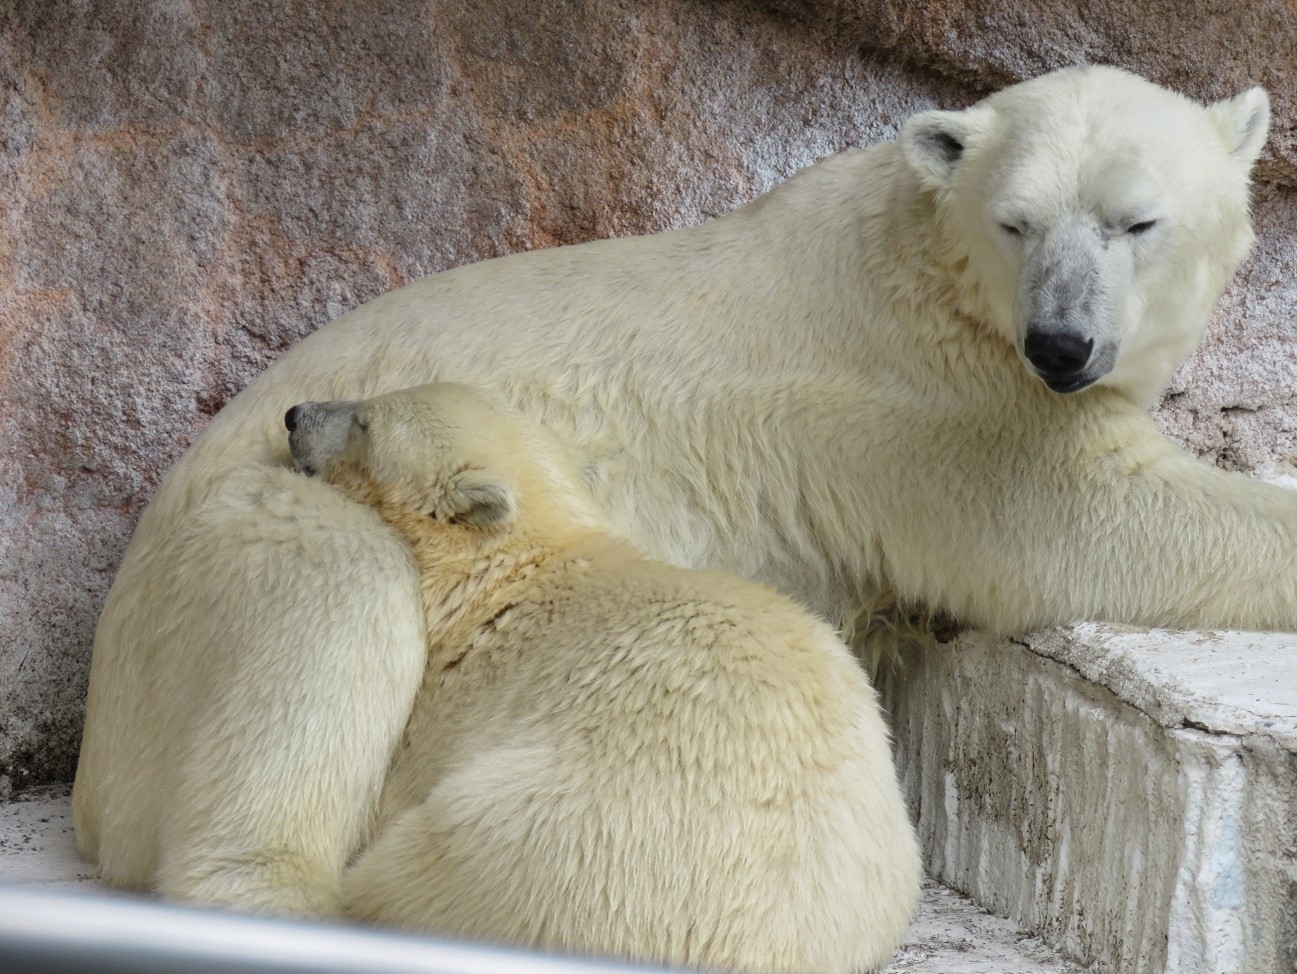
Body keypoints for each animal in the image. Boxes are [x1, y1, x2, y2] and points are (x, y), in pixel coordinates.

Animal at [73, 64, 1286, 918]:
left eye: (1136, 221)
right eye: (1016, 221)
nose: (1061, 343)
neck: (922, 263)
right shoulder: (946, 407)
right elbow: (1094, 523)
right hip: (224, 545)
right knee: (329, 599)